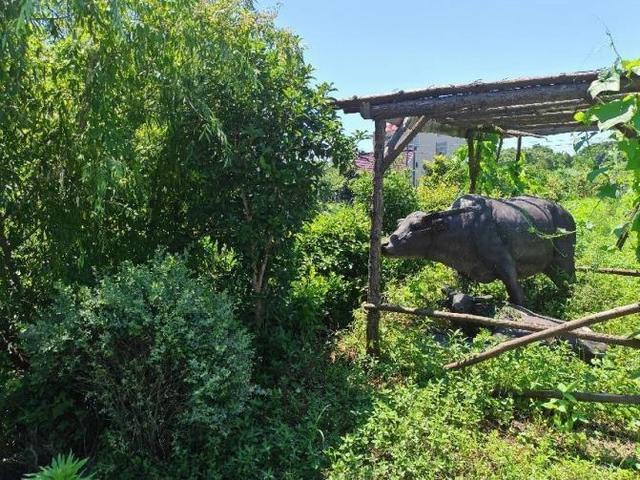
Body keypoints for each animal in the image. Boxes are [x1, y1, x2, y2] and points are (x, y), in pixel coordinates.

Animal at [382, 194, 576, 304]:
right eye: (400, 224)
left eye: (415, 226)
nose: (385, 245)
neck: (463, 227)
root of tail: (567, 215)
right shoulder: (463, 271)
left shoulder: (507, 268)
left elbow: (518, 300)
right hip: (550, 266)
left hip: (564, 262)